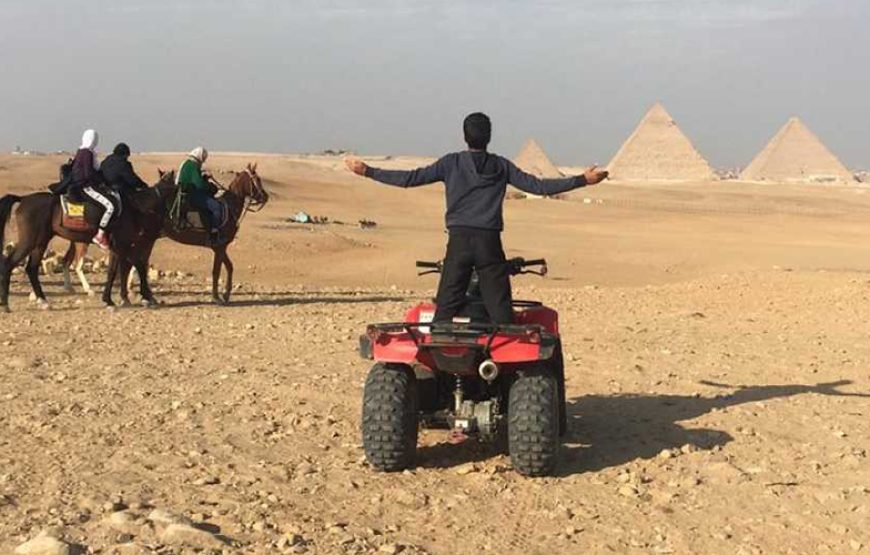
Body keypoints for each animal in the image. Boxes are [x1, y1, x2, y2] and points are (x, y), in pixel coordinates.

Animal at [0, 173, 177, 312]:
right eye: (180, 192)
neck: (135, 207)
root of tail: (23, 199)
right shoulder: (122, 245)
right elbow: (124, 269)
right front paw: (115, 300)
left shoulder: (122, 247)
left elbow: (127, 267)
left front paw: (133, 298)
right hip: (30, 240)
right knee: (10, 263)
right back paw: (6, 304)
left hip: (41, 242)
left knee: (31, 268)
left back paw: (43, 301)